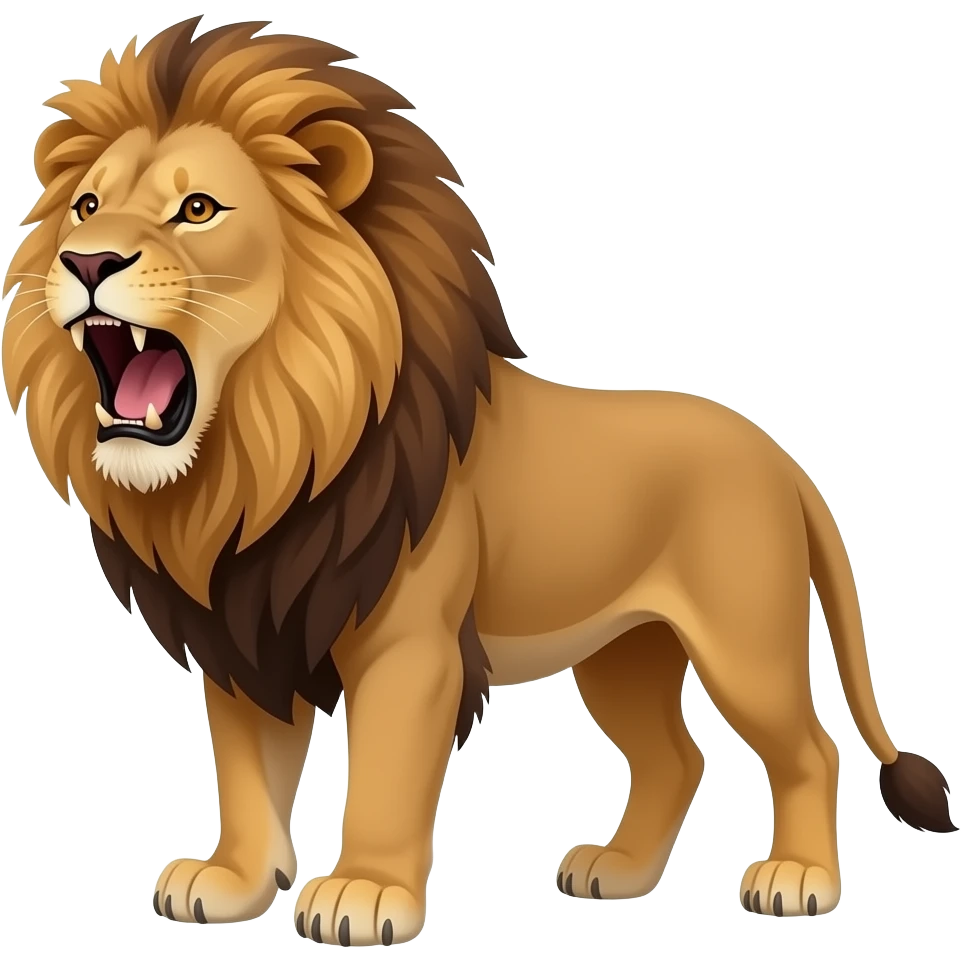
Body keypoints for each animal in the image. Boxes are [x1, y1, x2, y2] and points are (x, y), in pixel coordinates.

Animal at [1, 16, 955, 944]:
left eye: (197, 208)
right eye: (87, 206)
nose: (86, 262)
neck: (263, 459)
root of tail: (782, 459)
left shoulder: (408, 645)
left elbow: (385, 772)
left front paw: (363, 893)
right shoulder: (246, 631)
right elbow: (246, 772)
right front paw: (232, 881)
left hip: (743, 641)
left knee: (808, 749)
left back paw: (798, 880)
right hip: (623, 650)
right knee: (675, 756)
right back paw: (616, 872)